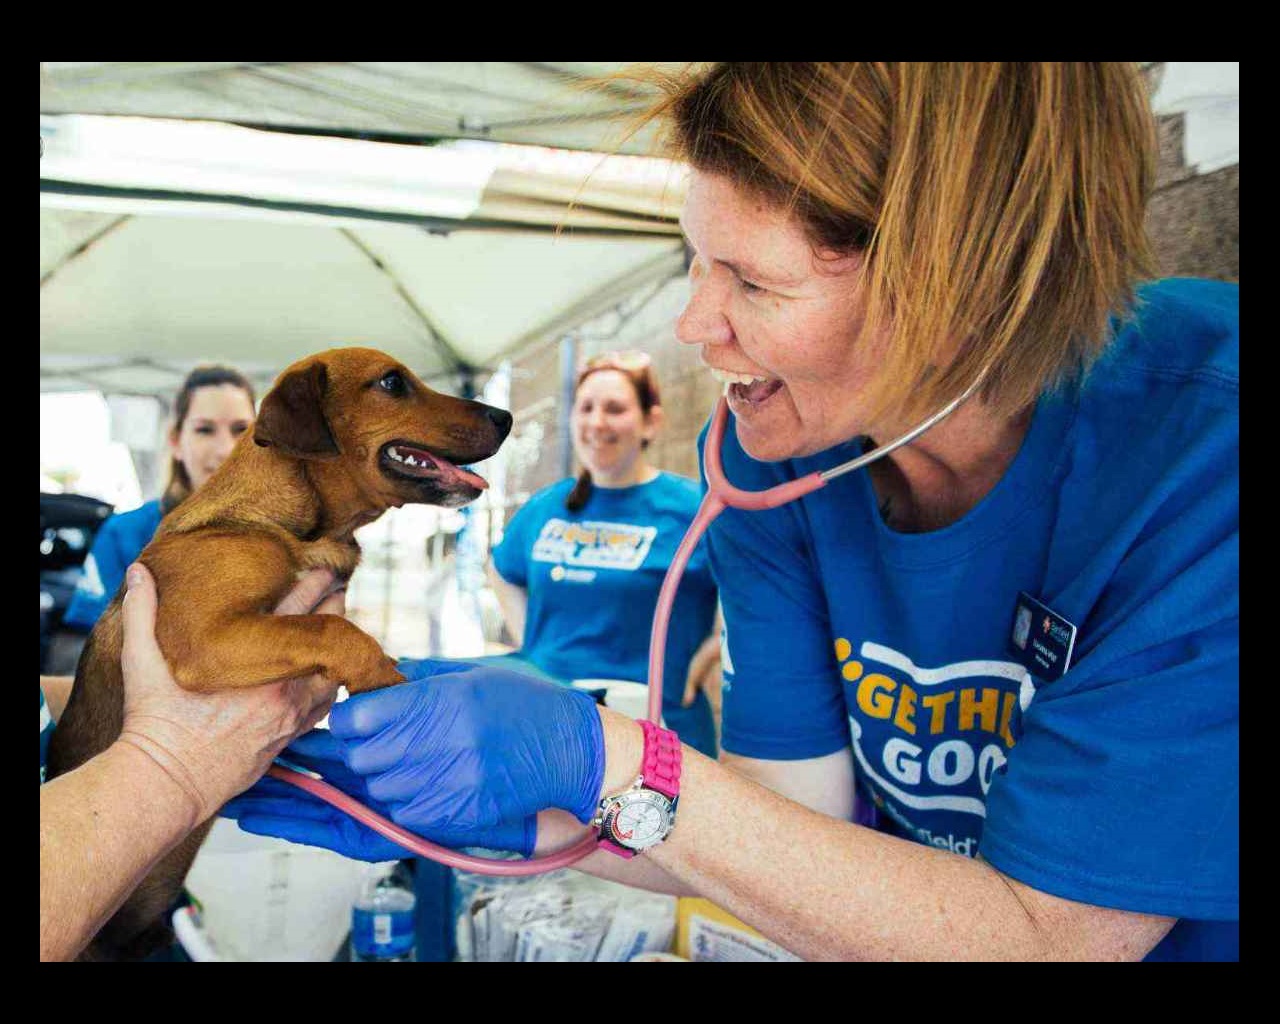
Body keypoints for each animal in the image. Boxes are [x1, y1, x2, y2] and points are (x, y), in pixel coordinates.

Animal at [45, 348, 514, 962]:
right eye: (392, 383)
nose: (506, 417)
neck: (292, 525)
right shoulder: (203, 635)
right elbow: (331, 629)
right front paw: (389, 686)